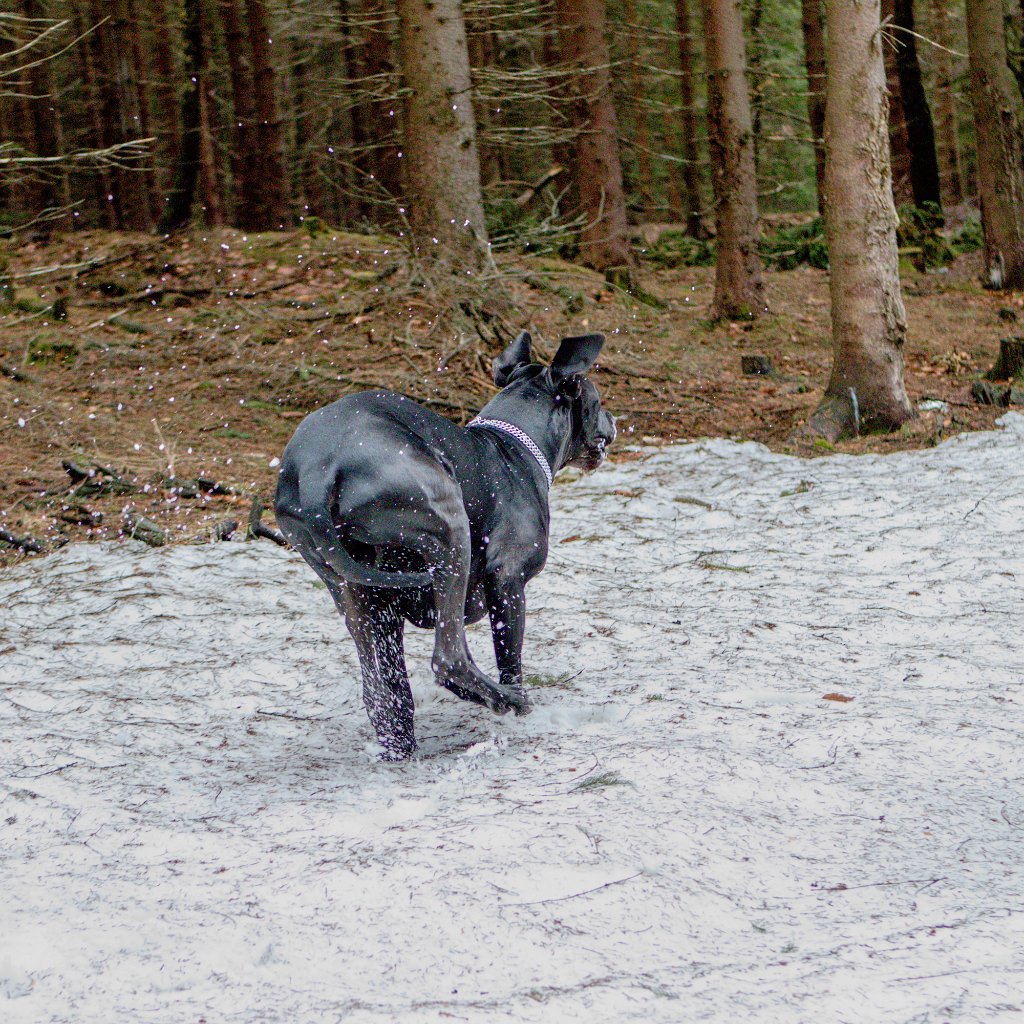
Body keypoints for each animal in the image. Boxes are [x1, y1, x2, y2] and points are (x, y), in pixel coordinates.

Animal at [272, 331, 614, 757]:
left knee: (383, 692)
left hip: (353, 587)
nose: (614, 421)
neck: (513, 448)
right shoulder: (508, 581)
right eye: (597, 400)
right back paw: (507, 701)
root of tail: (317, 467)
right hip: (450, 528)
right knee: (449, 659)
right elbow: (511, 660)